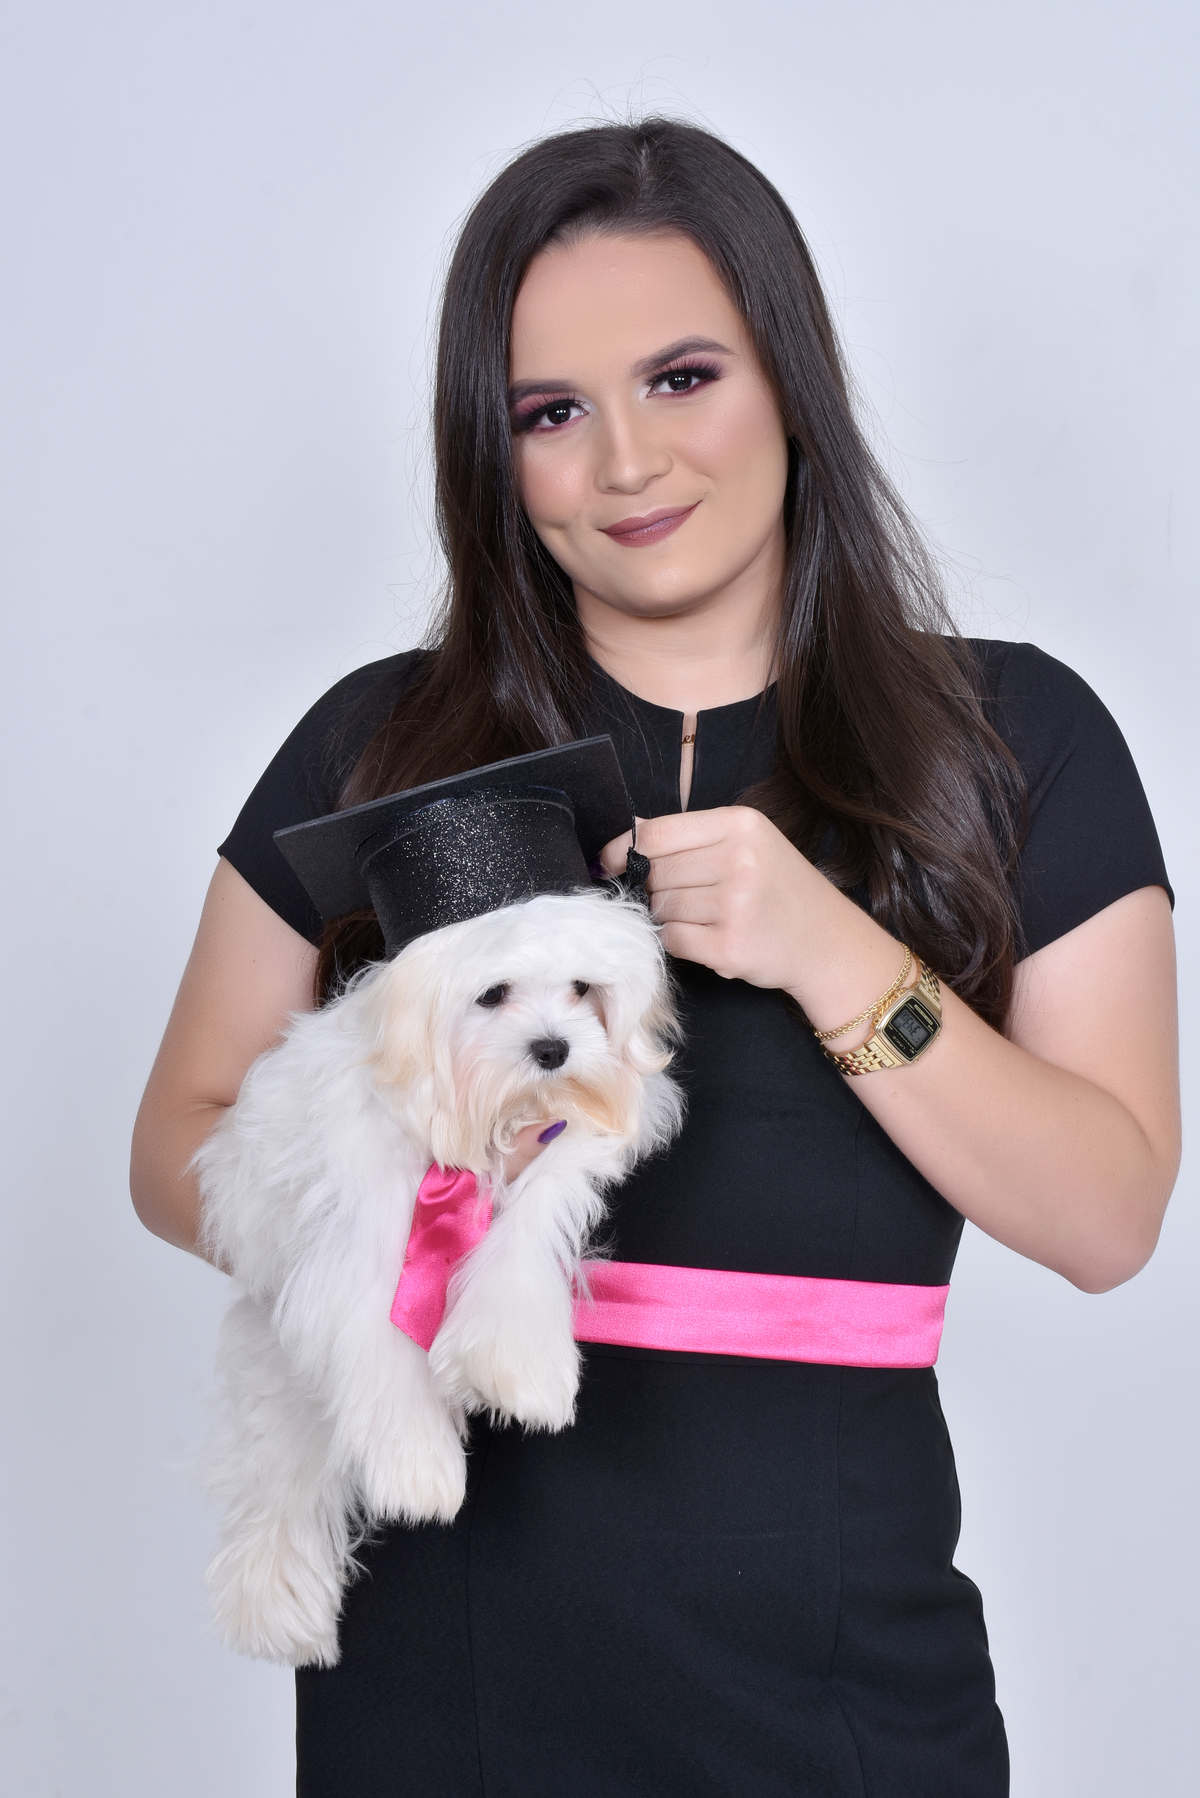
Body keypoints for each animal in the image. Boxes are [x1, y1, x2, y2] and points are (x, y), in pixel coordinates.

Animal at [196, 885, 682, 1668]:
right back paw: (274, 1609)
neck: (485, 1116)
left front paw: (517, 1369)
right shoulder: (359, 1235)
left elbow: (525, 1239)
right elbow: (382, 1342)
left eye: (583, 989)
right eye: (493, 994)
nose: (555, 1048)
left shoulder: (563, 1152)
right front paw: (417, 1470)